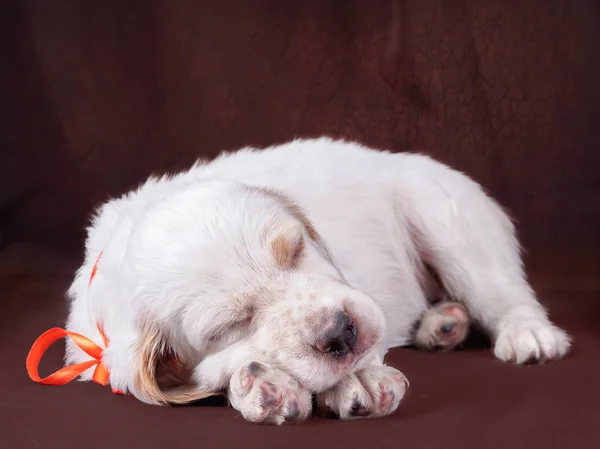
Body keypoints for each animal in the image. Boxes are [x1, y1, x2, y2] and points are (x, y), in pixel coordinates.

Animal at [63, 136, 568, 424]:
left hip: (445, 215)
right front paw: (263, 386)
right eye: (230, 324)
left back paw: (528, 336)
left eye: (296, 249)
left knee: (501, 292)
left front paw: (358, 380)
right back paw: (442, 325)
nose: (341, 333)